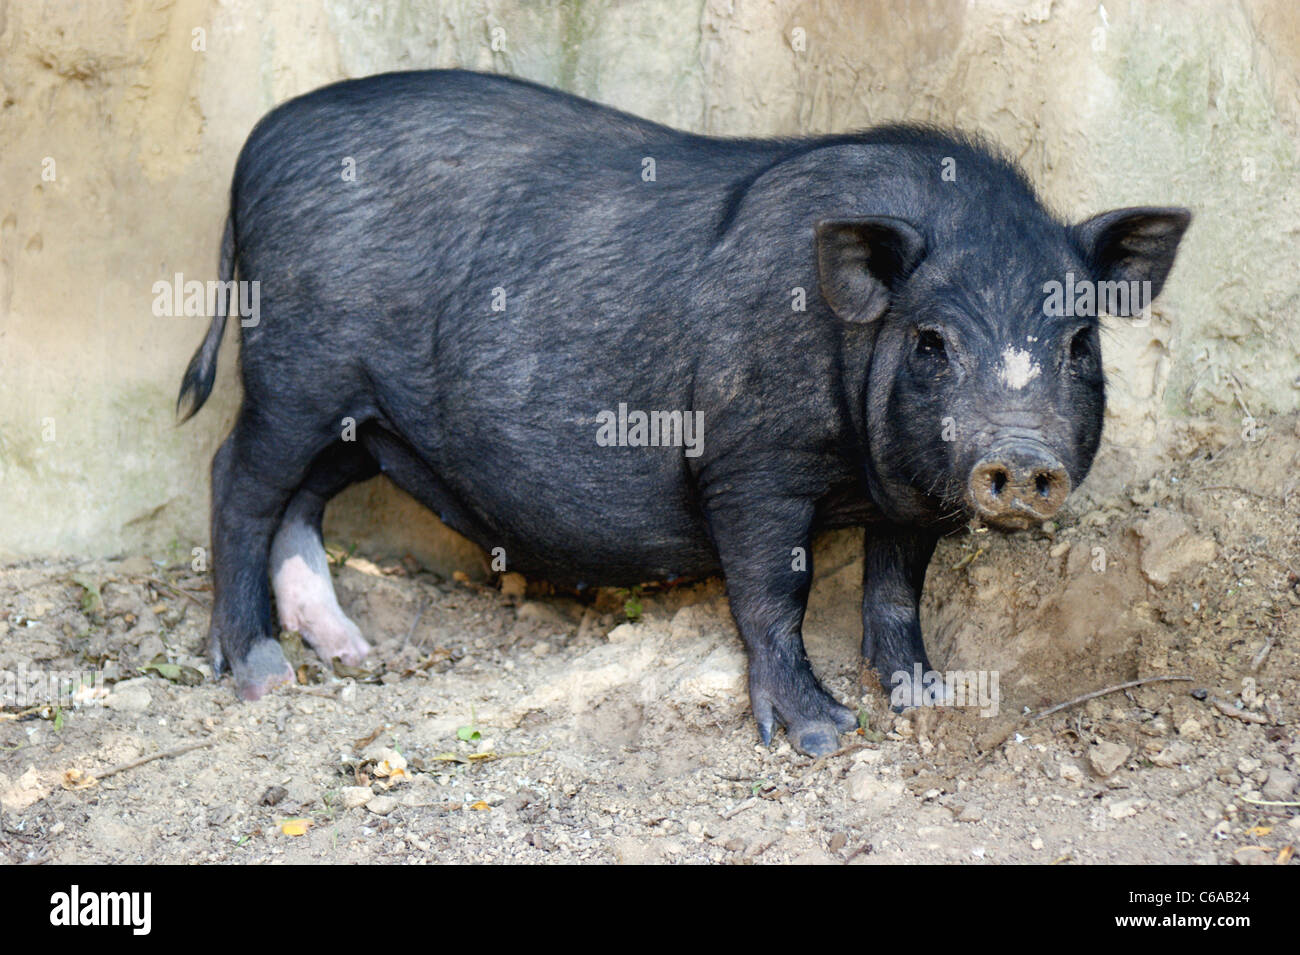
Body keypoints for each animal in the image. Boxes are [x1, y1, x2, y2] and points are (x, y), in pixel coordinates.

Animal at [178, 70, 1190, 755]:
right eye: (933, 340)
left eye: (1080, 341)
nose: (1020, 454)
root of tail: (256, 144)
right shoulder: (749, 460)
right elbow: (773, 589)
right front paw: (822, 737)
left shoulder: (907, 485)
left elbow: (898, 585)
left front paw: (929, 700)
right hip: (296, 371)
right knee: (239, 478)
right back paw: (262, 675)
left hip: (364, 416)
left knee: (304, 497)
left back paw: (349, 652)